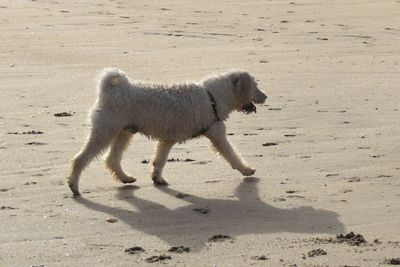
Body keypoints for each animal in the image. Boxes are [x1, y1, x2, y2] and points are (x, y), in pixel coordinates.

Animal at [67, 68, 268, 196]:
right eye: (255, 86)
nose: (266, 96)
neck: (212, 97)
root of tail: (109, 89)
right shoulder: (217, 134)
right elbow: (231, 155)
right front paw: (247, 170)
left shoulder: (167, 140)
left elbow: (160, 160)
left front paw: (157, 178)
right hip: (105, 130)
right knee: (80, 159)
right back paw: (74, 186)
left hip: (123, 132)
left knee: (111, 159)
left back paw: (126, 178)